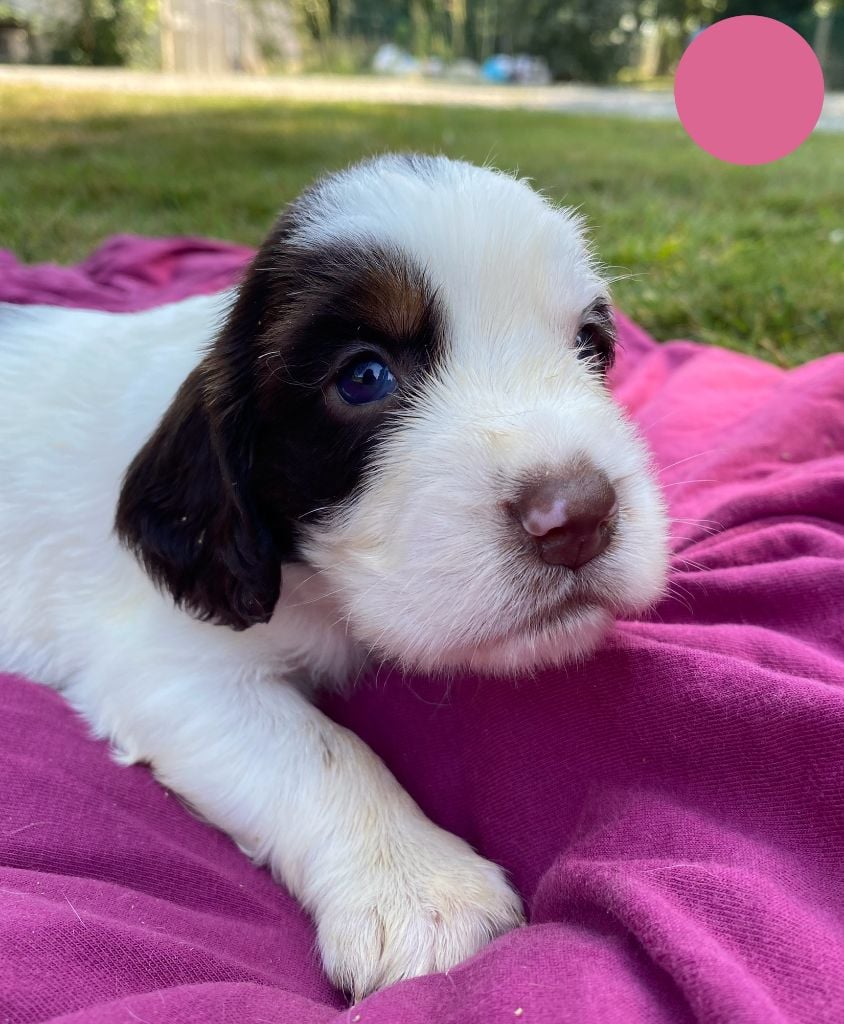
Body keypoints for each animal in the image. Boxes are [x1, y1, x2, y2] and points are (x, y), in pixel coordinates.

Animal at [1, 155, 667, 995]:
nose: (577, 518)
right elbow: (322, 752)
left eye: (589, 346)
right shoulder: (171, 666)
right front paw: (419, 889)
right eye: (364, 377)